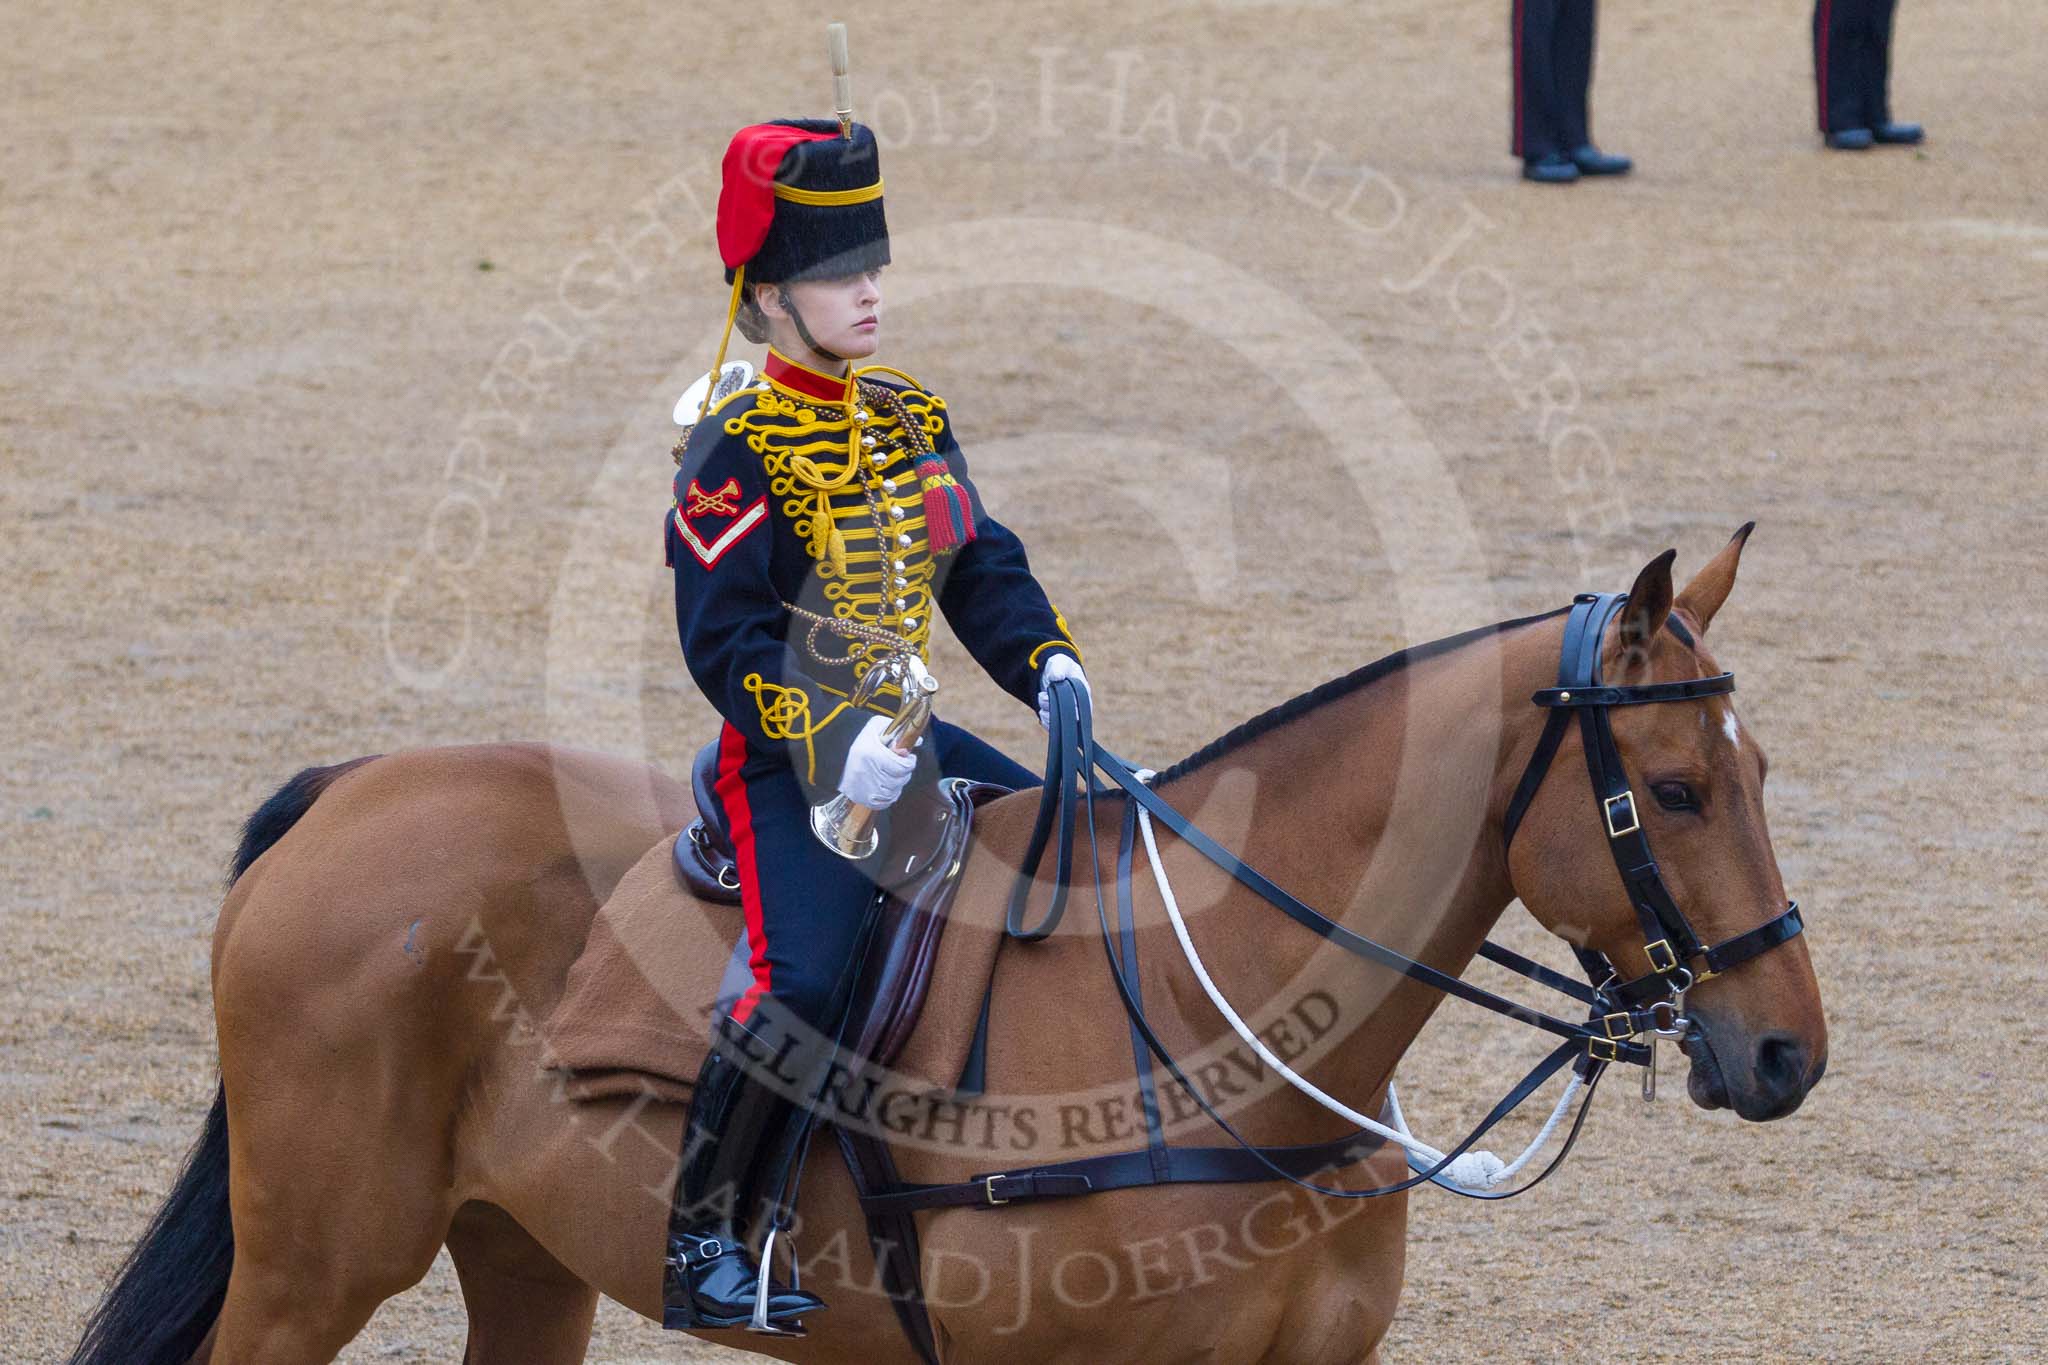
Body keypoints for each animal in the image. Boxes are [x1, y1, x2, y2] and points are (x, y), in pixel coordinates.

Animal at [72, 532, 1826, 1365]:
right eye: (1675, 788)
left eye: (1759, 769)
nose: (1788, 1048)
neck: (1222, 1024)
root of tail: (351, 789)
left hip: (522, 1254)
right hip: (318, 1261)